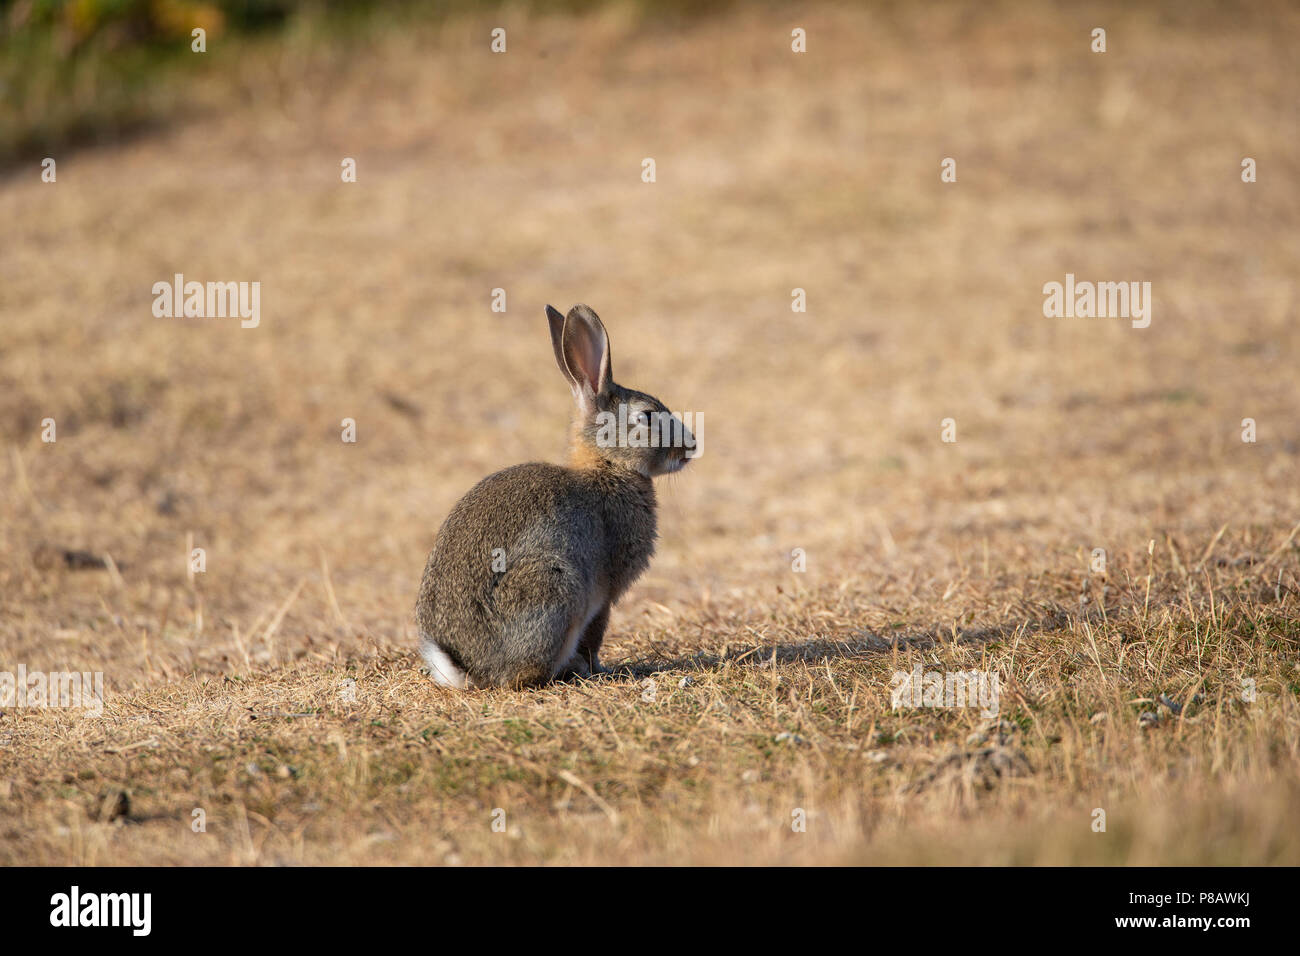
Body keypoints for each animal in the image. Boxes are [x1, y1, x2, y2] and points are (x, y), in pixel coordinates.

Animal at [418, 306, 696, 686]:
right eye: (647, 416)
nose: (690, 447)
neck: (608, 465)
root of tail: (465, 666)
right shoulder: (604, 594)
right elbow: (596, 634)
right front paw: (599, 668)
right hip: (556, 585)